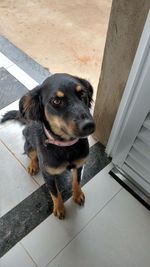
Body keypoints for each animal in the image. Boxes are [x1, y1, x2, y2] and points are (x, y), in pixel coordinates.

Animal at [1, 74, 95, 220]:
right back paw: (33, 165)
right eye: (56, 101)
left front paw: (77, 194)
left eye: (82, 94)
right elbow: (55, 193)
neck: (66, 146)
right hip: (29, 145)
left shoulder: (79, 165)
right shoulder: (48, 175)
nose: (89, 125)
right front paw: (59, 208)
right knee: (32, 156)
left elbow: (77, 181)